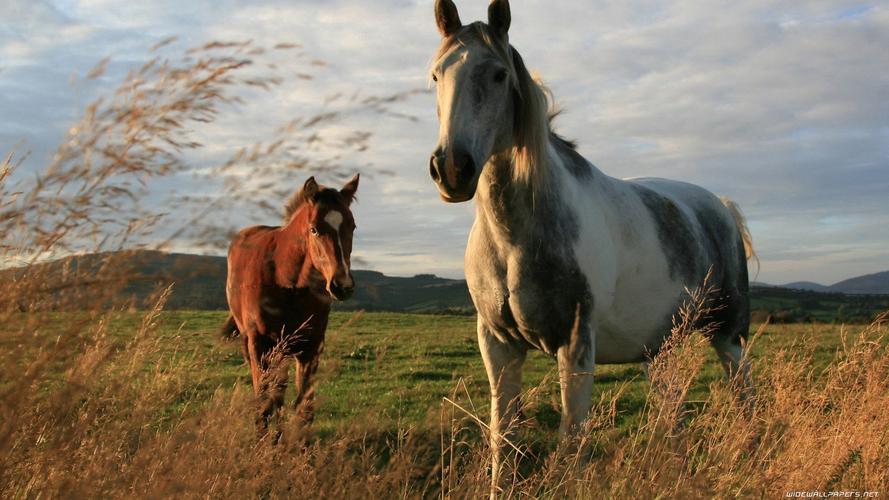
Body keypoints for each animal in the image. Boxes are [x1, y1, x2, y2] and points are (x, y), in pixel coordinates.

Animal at [223, 174, 359, 435]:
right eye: (314, 229)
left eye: (353, 226)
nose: (342, 285)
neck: (287, 281)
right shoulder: (260, 344)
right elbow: (264, 401)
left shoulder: (311, 347)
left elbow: (304, 407)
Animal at [428, 0, 755, 488]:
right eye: (436, 75)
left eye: (499, 74)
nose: (452, 169)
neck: (514, 239)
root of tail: (720, 206)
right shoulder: (498, 345)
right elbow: (503, 442)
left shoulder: (576, 344)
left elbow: (572, 445)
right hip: (660, 350)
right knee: (673, 413)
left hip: (729, 335)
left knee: (744, 398)